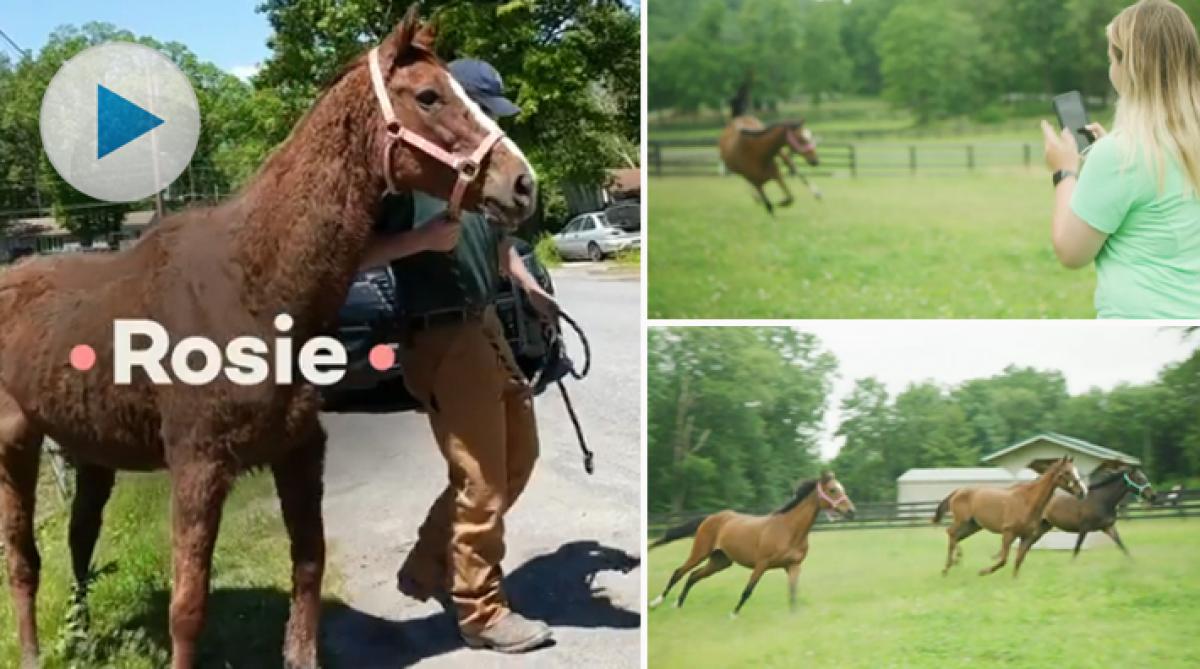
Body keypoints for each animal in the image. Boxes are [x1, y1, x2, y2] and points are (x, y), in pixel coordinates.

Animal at [0, 6, 536, 668]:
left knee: (80, 540)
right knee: (23, 558)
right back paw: (34, 651)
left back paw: (79, 634)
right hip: (16, 444)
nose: (523, 184)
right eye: (430, 96)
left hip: (91, 449)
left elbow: (307, 570)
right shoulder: (198, 465)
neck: (252, 286)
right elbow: (187, 606)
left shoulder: (300, 451)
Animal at [648, 471, 855, 618]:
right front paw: (733, 615)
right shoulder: (762, 564)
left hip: (720, 561)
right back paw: (656, 603)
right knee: (679, 572)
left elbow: (793, 593)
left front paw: (794, 617)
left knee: (693, 576)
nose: (851, 511)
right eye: (833, 490)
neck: (789, 530)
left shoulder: (793, 566)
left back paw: (678, 605)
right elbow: (748, 590)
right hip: (700, 552)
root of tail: (710, 517)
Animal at [932, 456, 1087, 578]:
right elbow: (1003, 560)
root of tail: (957, 491)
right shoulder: (1008, 533)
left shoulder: (1026, 536)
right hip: (962, 521)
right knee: (951, 533)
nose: (1082, 492)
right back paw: (949, 565)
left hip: (973, 525)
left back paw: (952, 563)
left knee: (955, 536)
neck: (1027, 501)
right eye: (1067, 472)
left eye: (1076, 471)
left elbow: (1019, 560)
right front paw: (983, 571)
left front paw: (1014, 580)